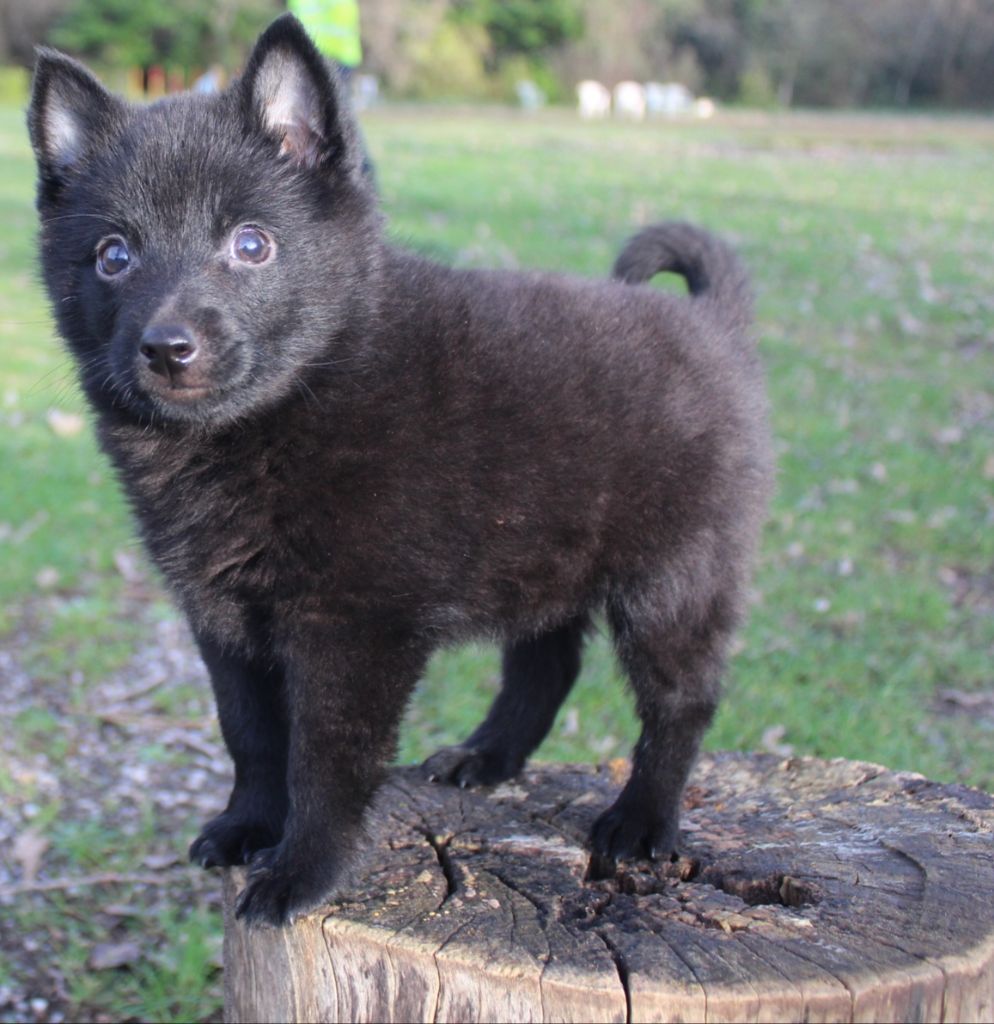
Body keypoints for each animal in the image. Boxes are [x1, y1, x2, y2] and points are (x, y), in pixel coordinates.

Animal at [27, 14, 773, 929]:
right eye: (113, 256)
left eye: (251, 244)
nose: (168, 348)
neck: (295, 399)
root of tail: (713, 323)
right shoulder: (222, 616)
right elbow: (251, 735)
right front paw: (247, 826)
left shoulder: (353, 629)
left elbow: (323, 757)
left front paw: (299, 869)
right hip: (542, 553)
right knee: (547, 667)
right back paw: (485, 758)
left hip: (675, 576)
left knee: (681, 701)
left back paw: (640, 821)